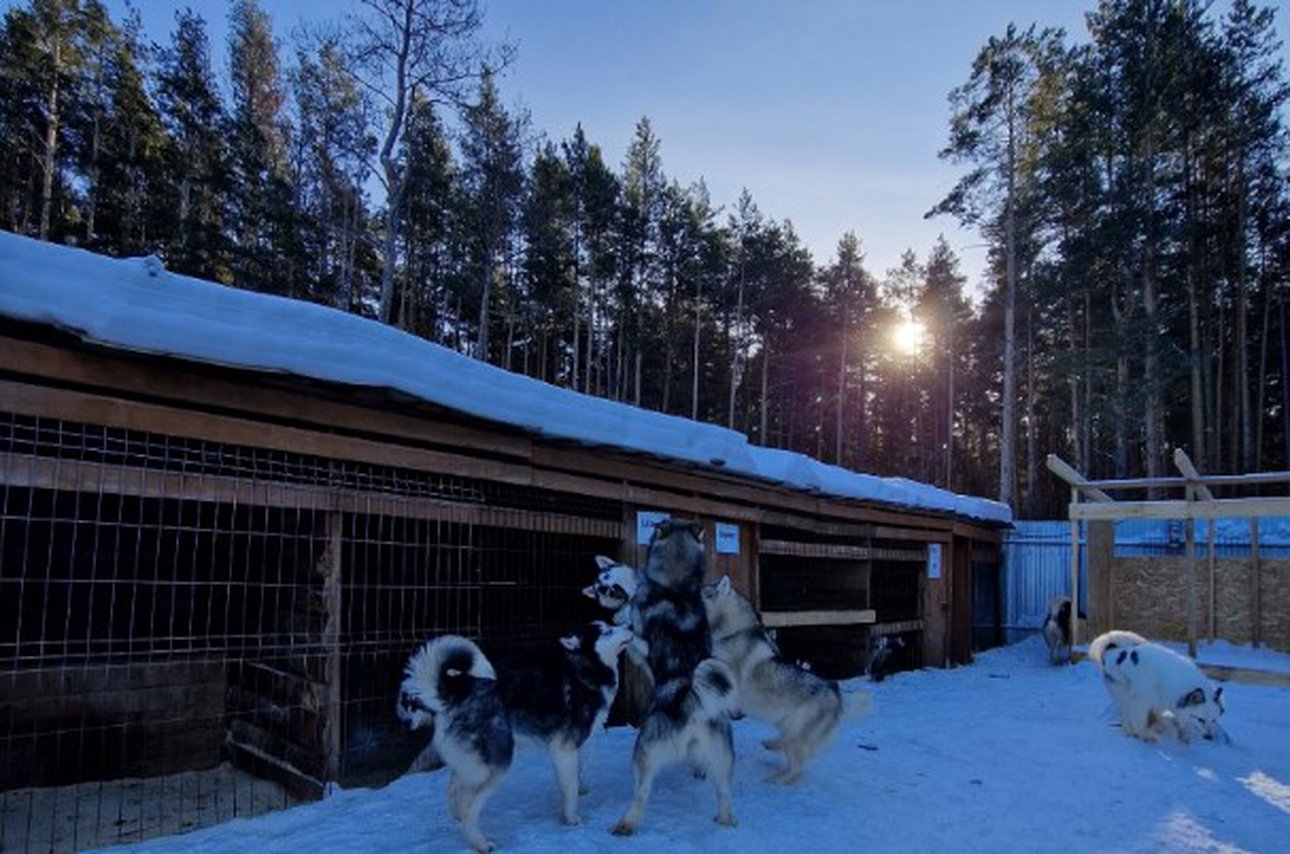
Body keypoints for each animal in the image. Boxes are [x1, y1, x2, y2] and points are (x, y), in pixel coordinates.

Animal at [394, 621, 632, 851]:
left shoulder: (572, 751)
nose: (629, 625)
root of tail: (456, 692)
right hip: (496, 766)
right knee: (468, 805)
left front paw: (579, 794)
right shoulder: (564, 749)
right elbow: (570, 789)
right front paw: (571, 818)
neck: (585, 672)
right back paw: (480, 843)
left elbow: (575, 778)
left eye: (610, 624)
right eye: (607, 631)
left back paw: (458, 819)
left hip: (472, 764)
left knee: (455, 789)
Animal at [1088, 632, 1228, 748]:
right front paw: (1144, 735)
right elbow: (1140, 720)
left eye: (1214, 720)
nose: (1209, 737)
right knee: (1125, 712)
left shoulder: (1160, 699)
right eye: (1200, 719)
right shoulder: (1140, 700)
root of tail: (1113, 649)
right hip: (1122, 693)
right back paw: (1128, 730)